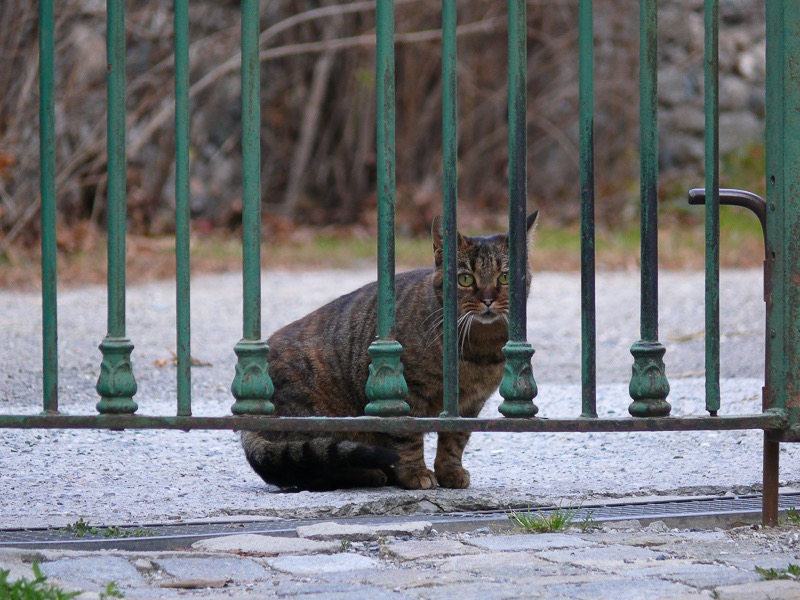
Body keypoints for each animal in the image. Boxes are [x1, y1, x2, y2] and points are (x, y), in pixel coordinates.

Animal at [239, 213, 536, 490]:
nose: (488, 299)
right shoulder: (408, 392)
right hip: (317, 420)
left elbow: (455, 440)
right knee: (311, 466)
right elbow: (407, 437)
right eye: (465, 279)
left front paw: (450, 471)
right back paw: (368, 474)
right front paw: (415, 473)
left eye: (505, 277)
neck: (479, 348)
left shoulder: (470, 403)